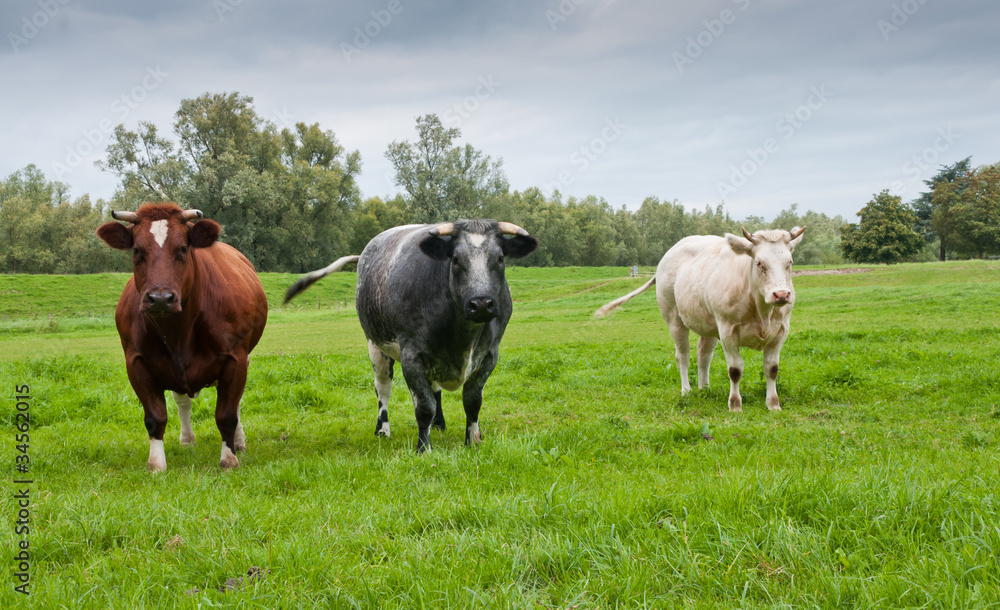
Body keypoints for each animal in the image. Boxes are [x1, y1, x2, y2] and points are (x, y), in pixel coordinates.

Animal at [96, 202, 268, 468]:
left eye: (183, 248)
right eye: (136, 250)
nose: (160, 298)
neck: (178, 332)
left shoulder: (236, 358)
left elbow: (227, 414)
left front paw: (228, 458)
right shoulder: (136, 363)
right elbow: (154, 416)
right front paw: (156, 463)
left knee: (236, 402)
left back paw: (239, 442)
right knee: (182, 401)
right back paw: (187, 440)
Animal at [592, 226, 804, 410]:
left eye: (790, 262)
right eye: (760, 263)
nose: (781, 295)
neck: (762, 312)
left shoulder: (781, 331)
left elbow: (772, 369)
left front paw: (773, 404)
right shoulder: (727, 330)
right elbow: (735, 370)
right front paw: (735, 405)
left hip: (709, 325)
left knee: (703, 355)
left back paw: (705, 388)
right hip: (675, 320)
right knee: (683, 356)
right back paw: (686, 390)